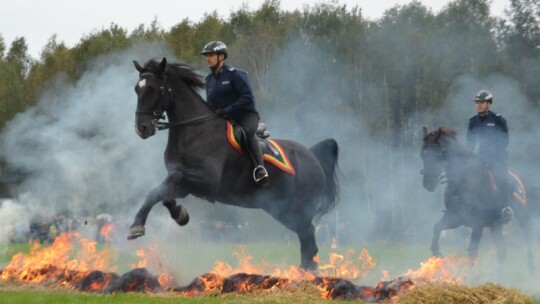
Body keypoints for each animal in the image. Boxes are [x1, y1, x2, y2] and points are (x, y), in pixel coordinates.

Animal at [127, 58, 338, 270]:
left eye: (153, 88)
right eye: (137, 89)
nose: (141, 128)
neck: (195, 130)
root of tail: (312, 155)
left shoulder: (206, 181)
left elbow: (172, 181)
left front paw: (180, 214)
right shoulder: (186, 187)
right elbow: (156, 193)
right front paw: (137, 226)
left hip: (300, 210)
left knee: (308, 240)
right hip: (282, 210)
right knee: (307, 240)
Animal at [420, 126, 532, 274]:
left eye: (437, 154)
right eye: (422, 155)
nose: (428, 184)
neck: (463, 182)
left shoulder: (477, 224)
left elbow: (472, 251)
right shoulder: (454, 218)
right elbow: (437, 227)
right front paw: (437, 252)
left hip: (522, 218)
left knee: (527, 240)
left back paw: (531, 270)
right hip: (495, 225)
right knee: (502, 249)